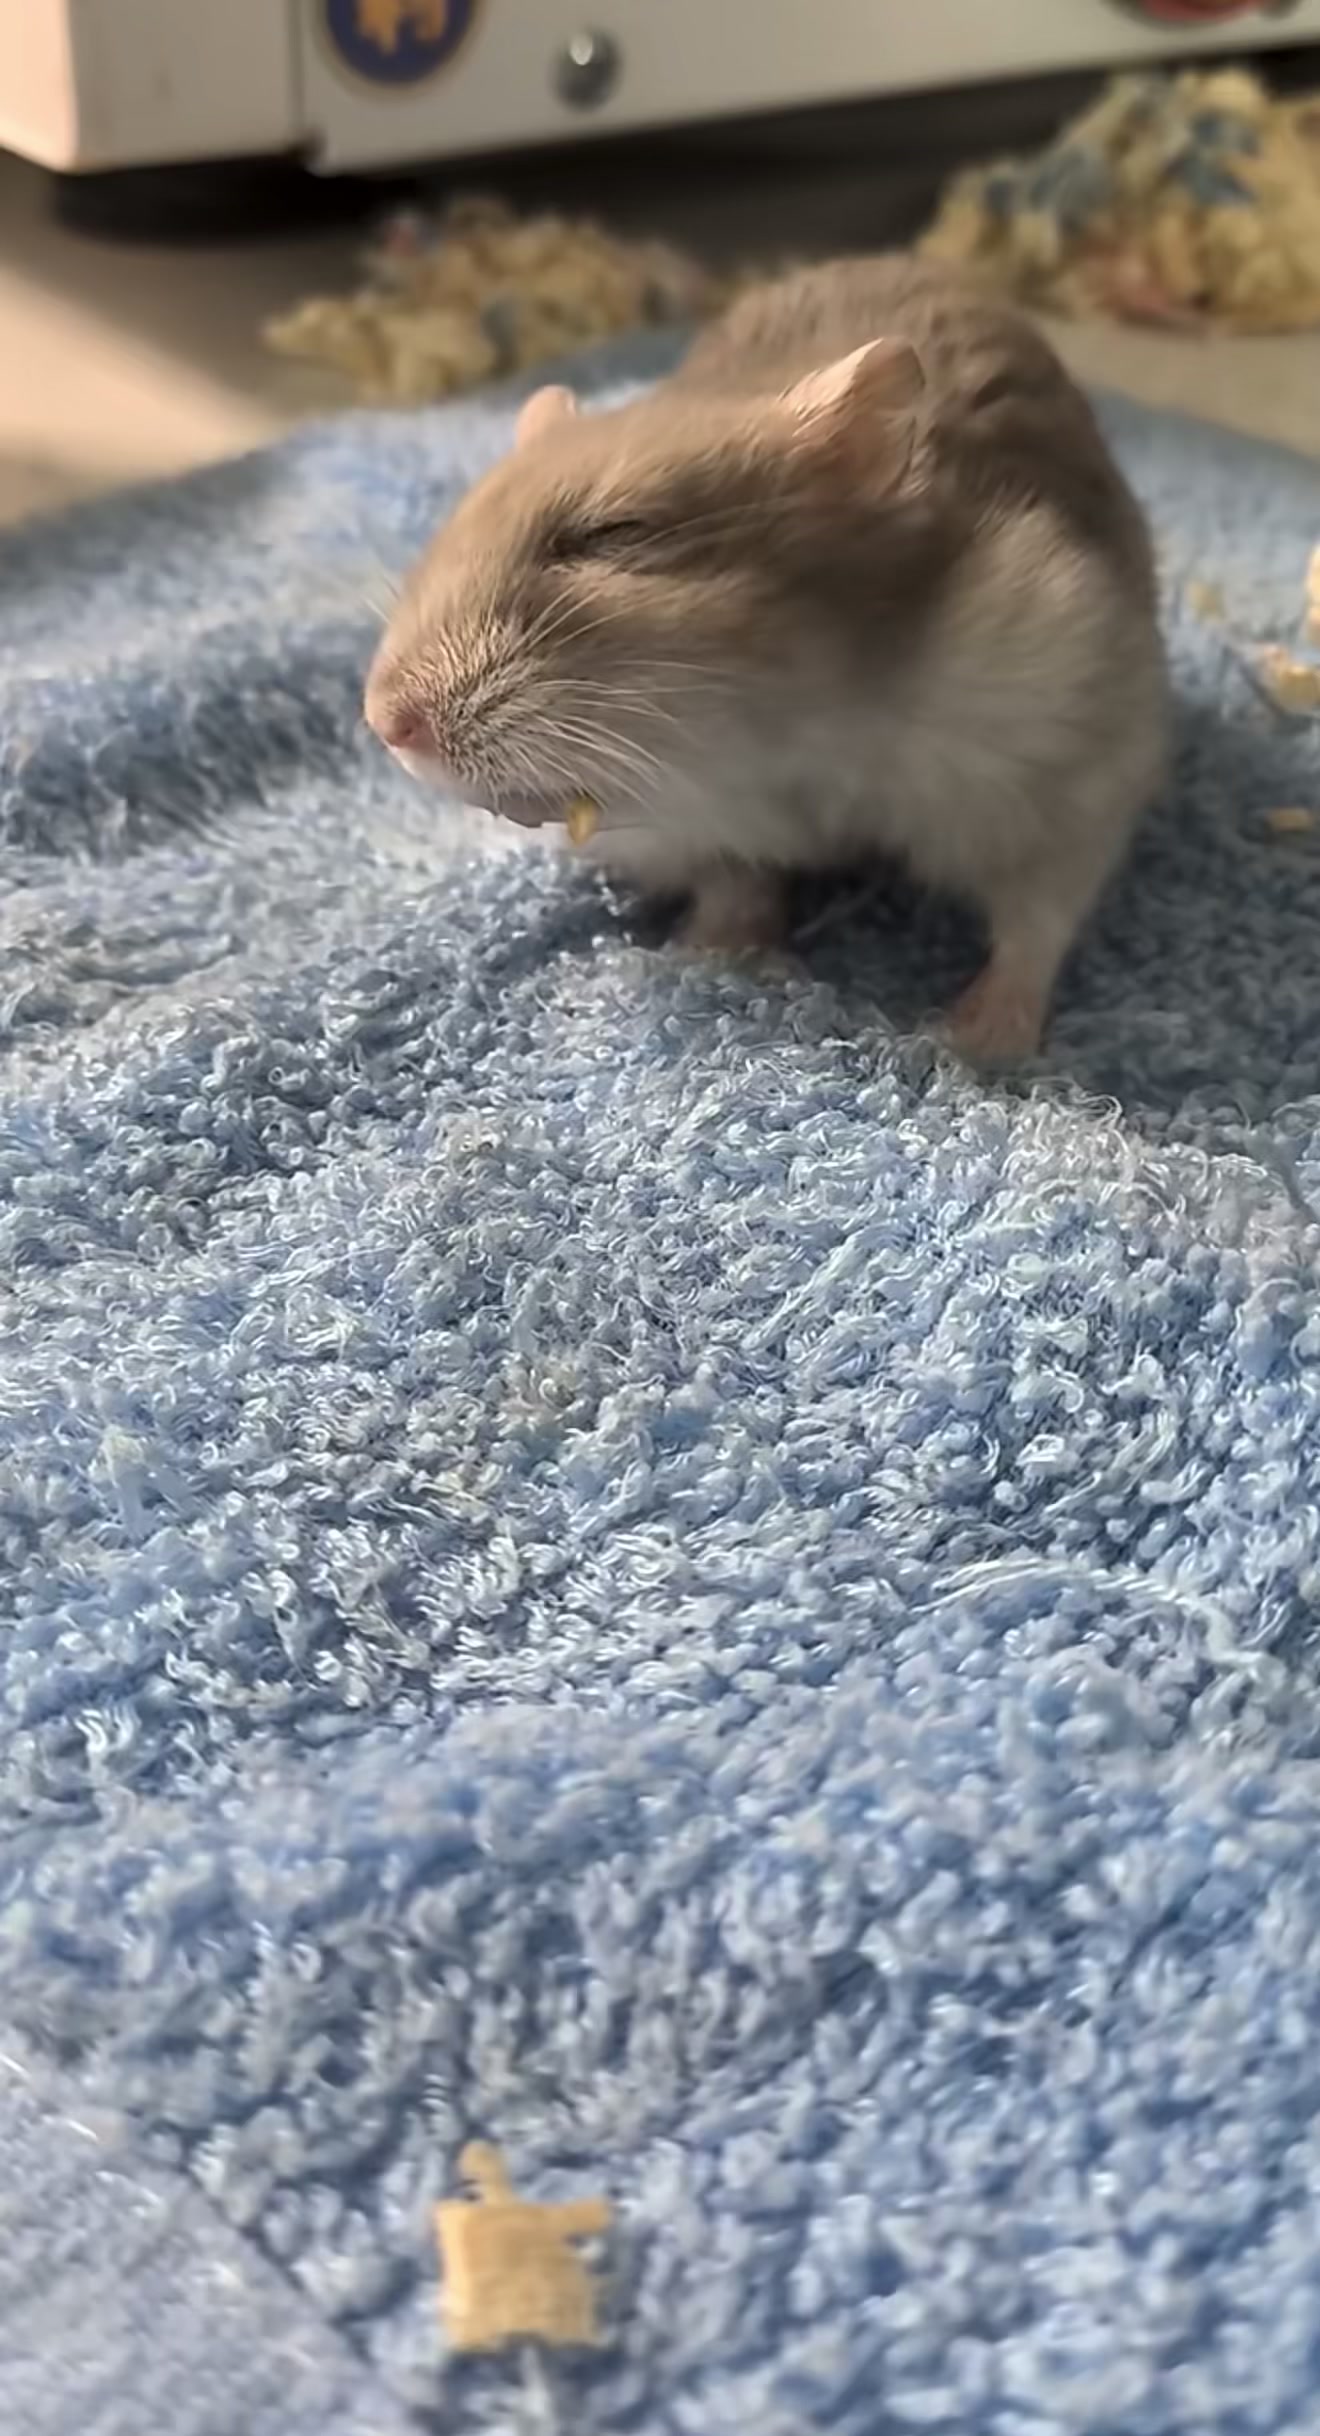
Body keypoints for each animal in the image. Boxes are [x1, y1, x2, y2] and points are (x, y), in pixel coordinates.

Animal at [365, 254, 1167, 1061]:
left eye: (610, 535)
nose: (385, 726)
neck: (792, 734)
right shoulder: (697, 833)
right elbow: (734, 884)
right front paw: (716, 958)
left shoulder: (1065, 768)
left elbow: (1035, 926)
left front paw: (969, 1045)